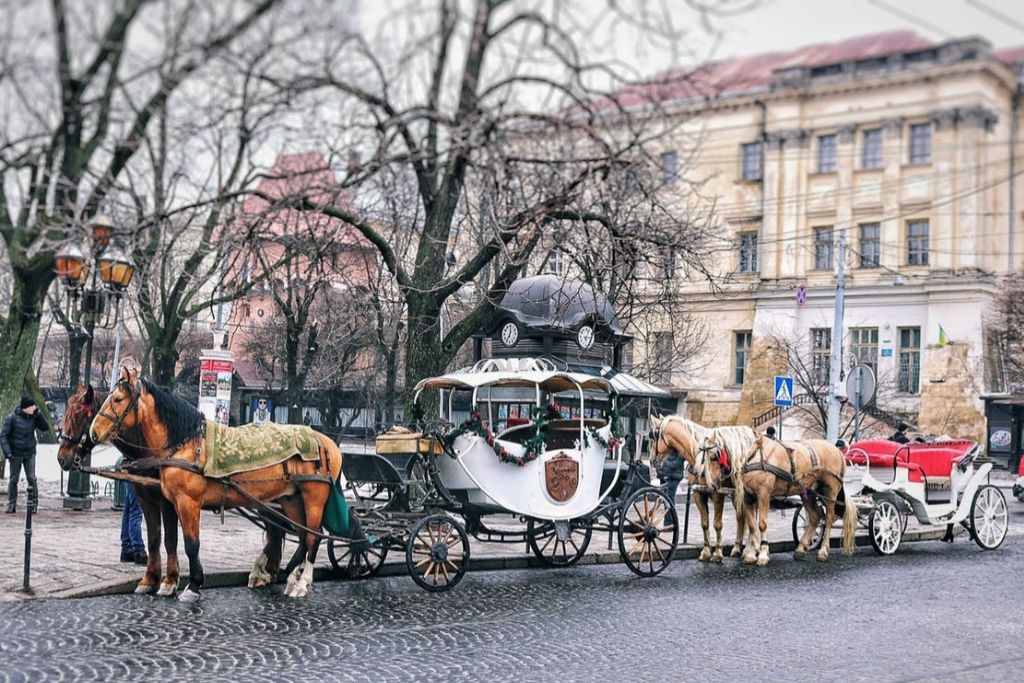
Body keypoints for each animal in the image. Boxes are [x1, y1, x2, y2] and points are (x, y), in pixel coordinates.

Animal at [57, 385, 184, 598]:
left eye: (78, 416)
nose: (61, 458)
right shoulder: (145, 498)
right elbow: (154, 538)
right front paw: (150, 579)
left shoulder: (168, 502)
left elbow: (170, 539)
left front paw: (171, 580)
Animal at [88, 366, 344, 602]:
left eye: (117, 399)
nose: (93, 433)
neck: (185, 444)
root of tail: (326, 442)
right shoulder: (168, 502)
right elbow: (165, 539)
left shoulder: (187, 503)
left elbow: (191, 544)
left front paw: (192, 585)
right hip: (290, 499)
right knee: (301, 536)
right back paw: (289, 577)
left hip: (313, 499)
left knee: (314, 538)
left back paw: (302, 582)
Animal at [651, 413, 757, 565]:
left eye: (654, 436)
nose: (651, 460)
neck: (701, 457)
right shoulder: (698, 493)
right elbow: (705, 524)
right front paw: (706, 551)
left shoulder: (717, 494)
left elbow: (717, 524)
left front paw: (718, 553)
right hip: (736, 493)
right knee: (741, 517)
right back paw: (737, 548)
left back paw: (749, 549)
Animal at [712, 436, 864, 569]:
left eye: (713, 457)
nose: (713, 485)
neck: (753, 456)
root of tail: (837, 450)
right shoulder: (748, 497)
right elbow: (751, 525)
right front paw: (750, 554)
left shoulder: (763, 495)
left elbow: (762, 525)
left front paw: (762, 554)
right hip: (808, 492)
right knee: (815, 516)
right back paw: (800, 548)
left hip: (830, 491)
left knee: (829, 518)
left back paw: (823, 551)